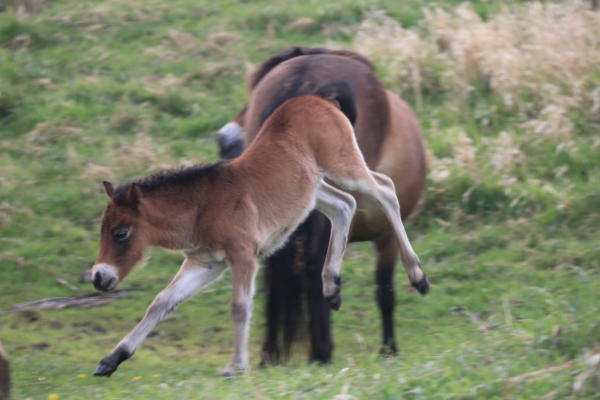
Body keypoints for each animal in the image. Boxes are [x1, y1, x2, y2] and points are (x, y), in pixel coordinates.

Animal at [90, 79, 426, 376]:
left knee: (385, 189)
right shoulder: (205, 263)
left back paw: (418, 277)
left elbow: (240, 306)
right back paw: (332, 288)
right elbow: (161, 303)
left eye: (121, 233)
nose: (99, 277)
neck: (203, 206)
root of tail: (318, 98)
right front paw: (111, 360)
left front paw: (235, 366)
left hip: (342, 164)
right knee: (345, 205)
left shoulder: (243, 254)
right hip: (313, 188)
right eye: (102, 230)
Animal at [217, 47, 426, 362]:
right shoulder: (385, 237)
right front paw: (389, 347)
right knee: (323, 256)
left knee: (276, 274)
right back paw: (322, 348)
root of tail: (305, 74)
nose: (224, 140)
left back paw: (271, 354)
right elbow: (385, 290)